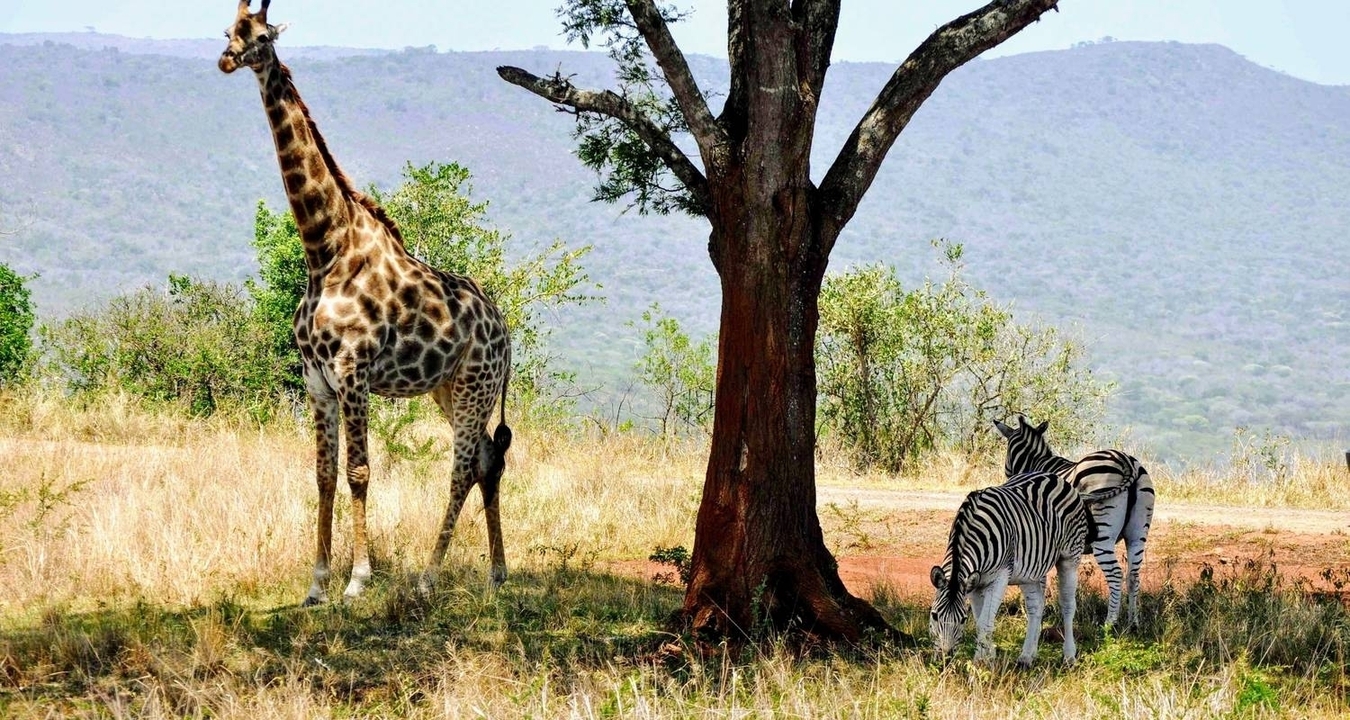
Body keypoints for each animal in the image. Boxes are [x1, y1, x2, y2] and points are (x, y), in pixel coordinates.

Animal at [219, 0, 513, 605]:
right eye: (227, 30)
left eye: (260, 36)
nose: (227, 60)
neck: (324, 252)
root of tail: (506, 330)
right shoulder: (316, 378)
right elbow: (323, 475)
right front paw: (316, 583)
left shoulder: (353, 372)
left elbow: (358, 471)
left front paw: (357, 579)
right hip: (449, 388)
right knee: (487, 461)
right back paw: (498, 573)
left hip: (475, 385)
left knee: (462, 467)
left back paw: (428, 576)